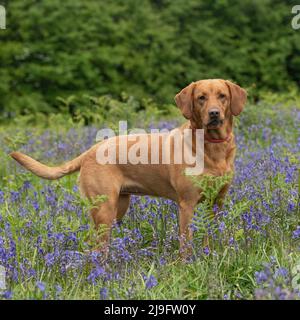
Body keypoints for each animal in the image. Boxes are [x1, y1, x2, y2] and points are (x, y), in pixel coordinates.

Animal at [10, 79, 247, 256]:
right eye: (201, 98)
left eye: (222, 96)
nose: (214, 113)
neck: (213, 147)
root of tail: (91, 150)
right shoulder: (187, 204)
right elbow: (186, 244)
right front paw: (188, 266)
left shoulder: (216, 203)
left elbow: (210, 236)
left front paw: (210, 257)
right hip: (104, 210)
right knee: (94, 249)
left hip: (118, 208)